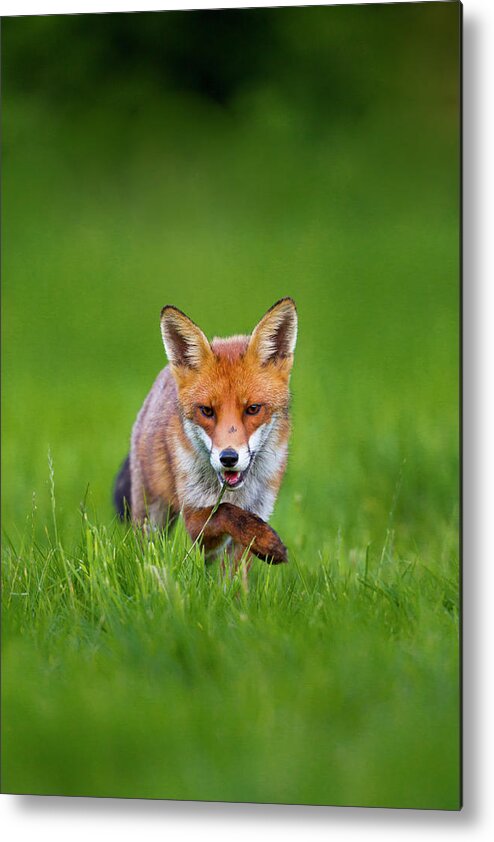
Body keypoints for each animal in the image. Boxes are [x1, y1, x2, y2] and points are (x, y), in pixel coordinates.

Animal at [113, 296, 296, 564]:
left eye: (253, 409)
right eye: (207, 411)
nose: (228, 458)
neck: (235, 493)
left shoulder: (256, 514)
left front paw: (262, 542)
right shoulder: (194, 519)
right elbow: (226, 511)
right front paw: (269, 543)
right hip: (151, 514)